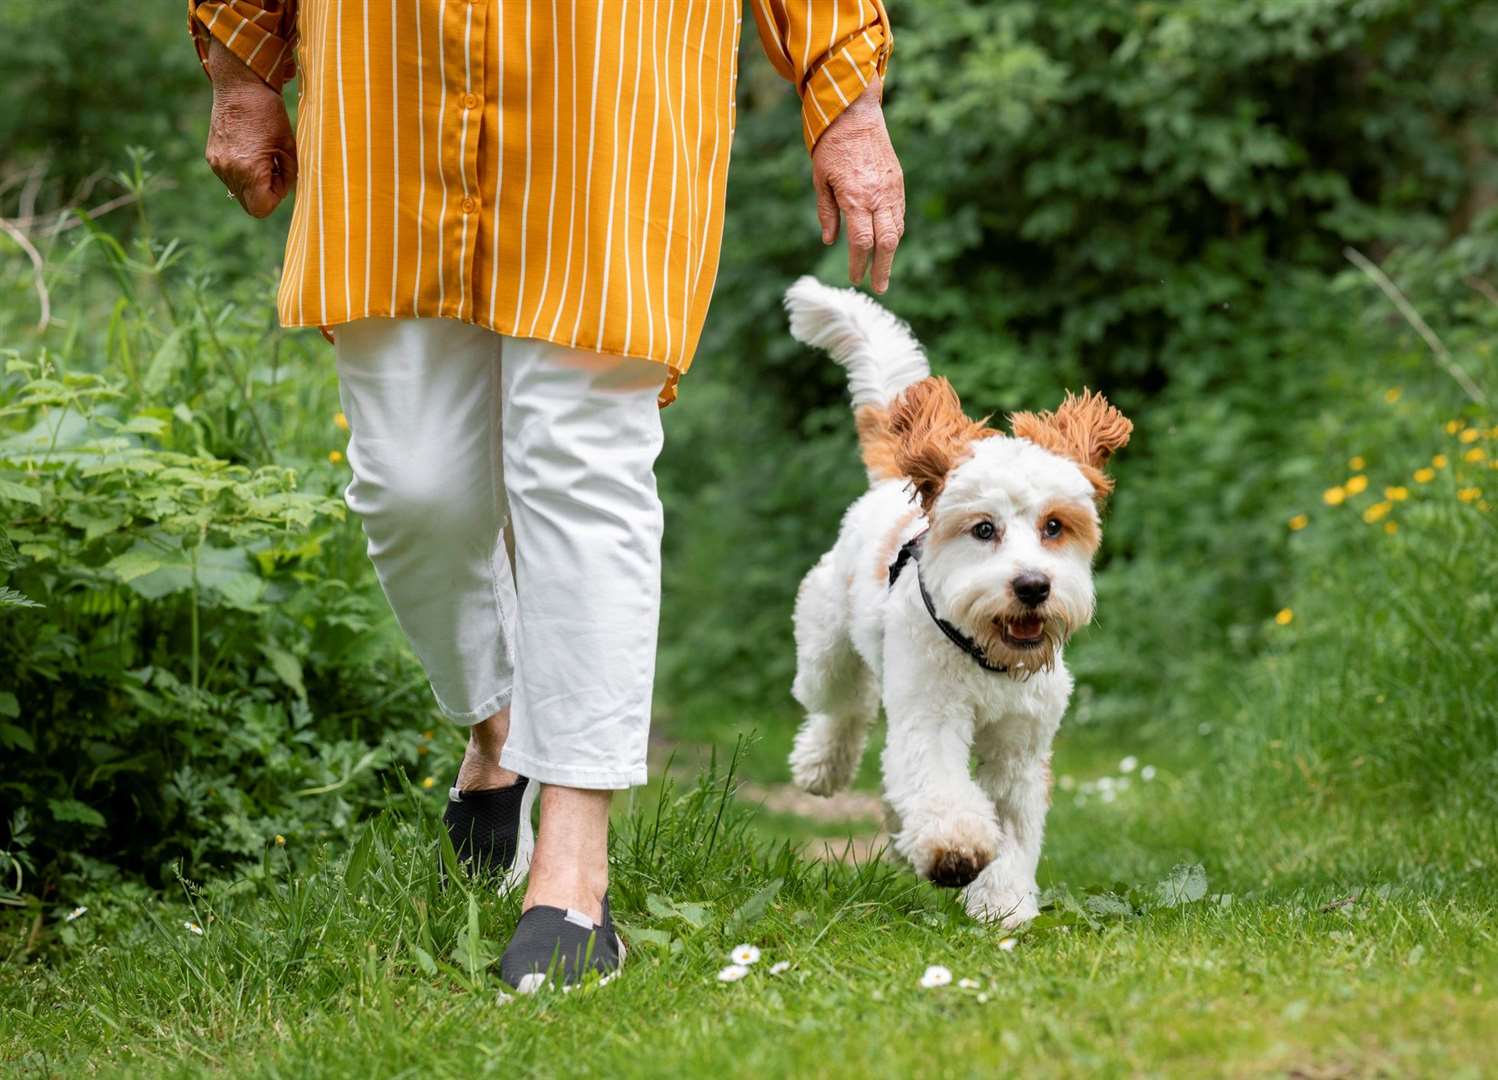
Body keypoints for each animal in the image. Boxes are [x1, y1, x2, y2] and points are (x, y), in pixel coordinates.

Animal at [778, 278, 1126, 928]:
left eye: (1054, 526)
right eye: (984, 529)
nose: (1032, 586)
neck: (990, 659)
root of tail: (889, 486)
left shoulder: (1021, 746)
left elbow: (1013, 823)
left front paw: (1004, 900)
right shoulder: (931, 714)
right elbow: (938, 783)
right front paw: (955, 849)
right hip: (824, 640)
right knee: (842, 705)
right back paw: (822, 764)